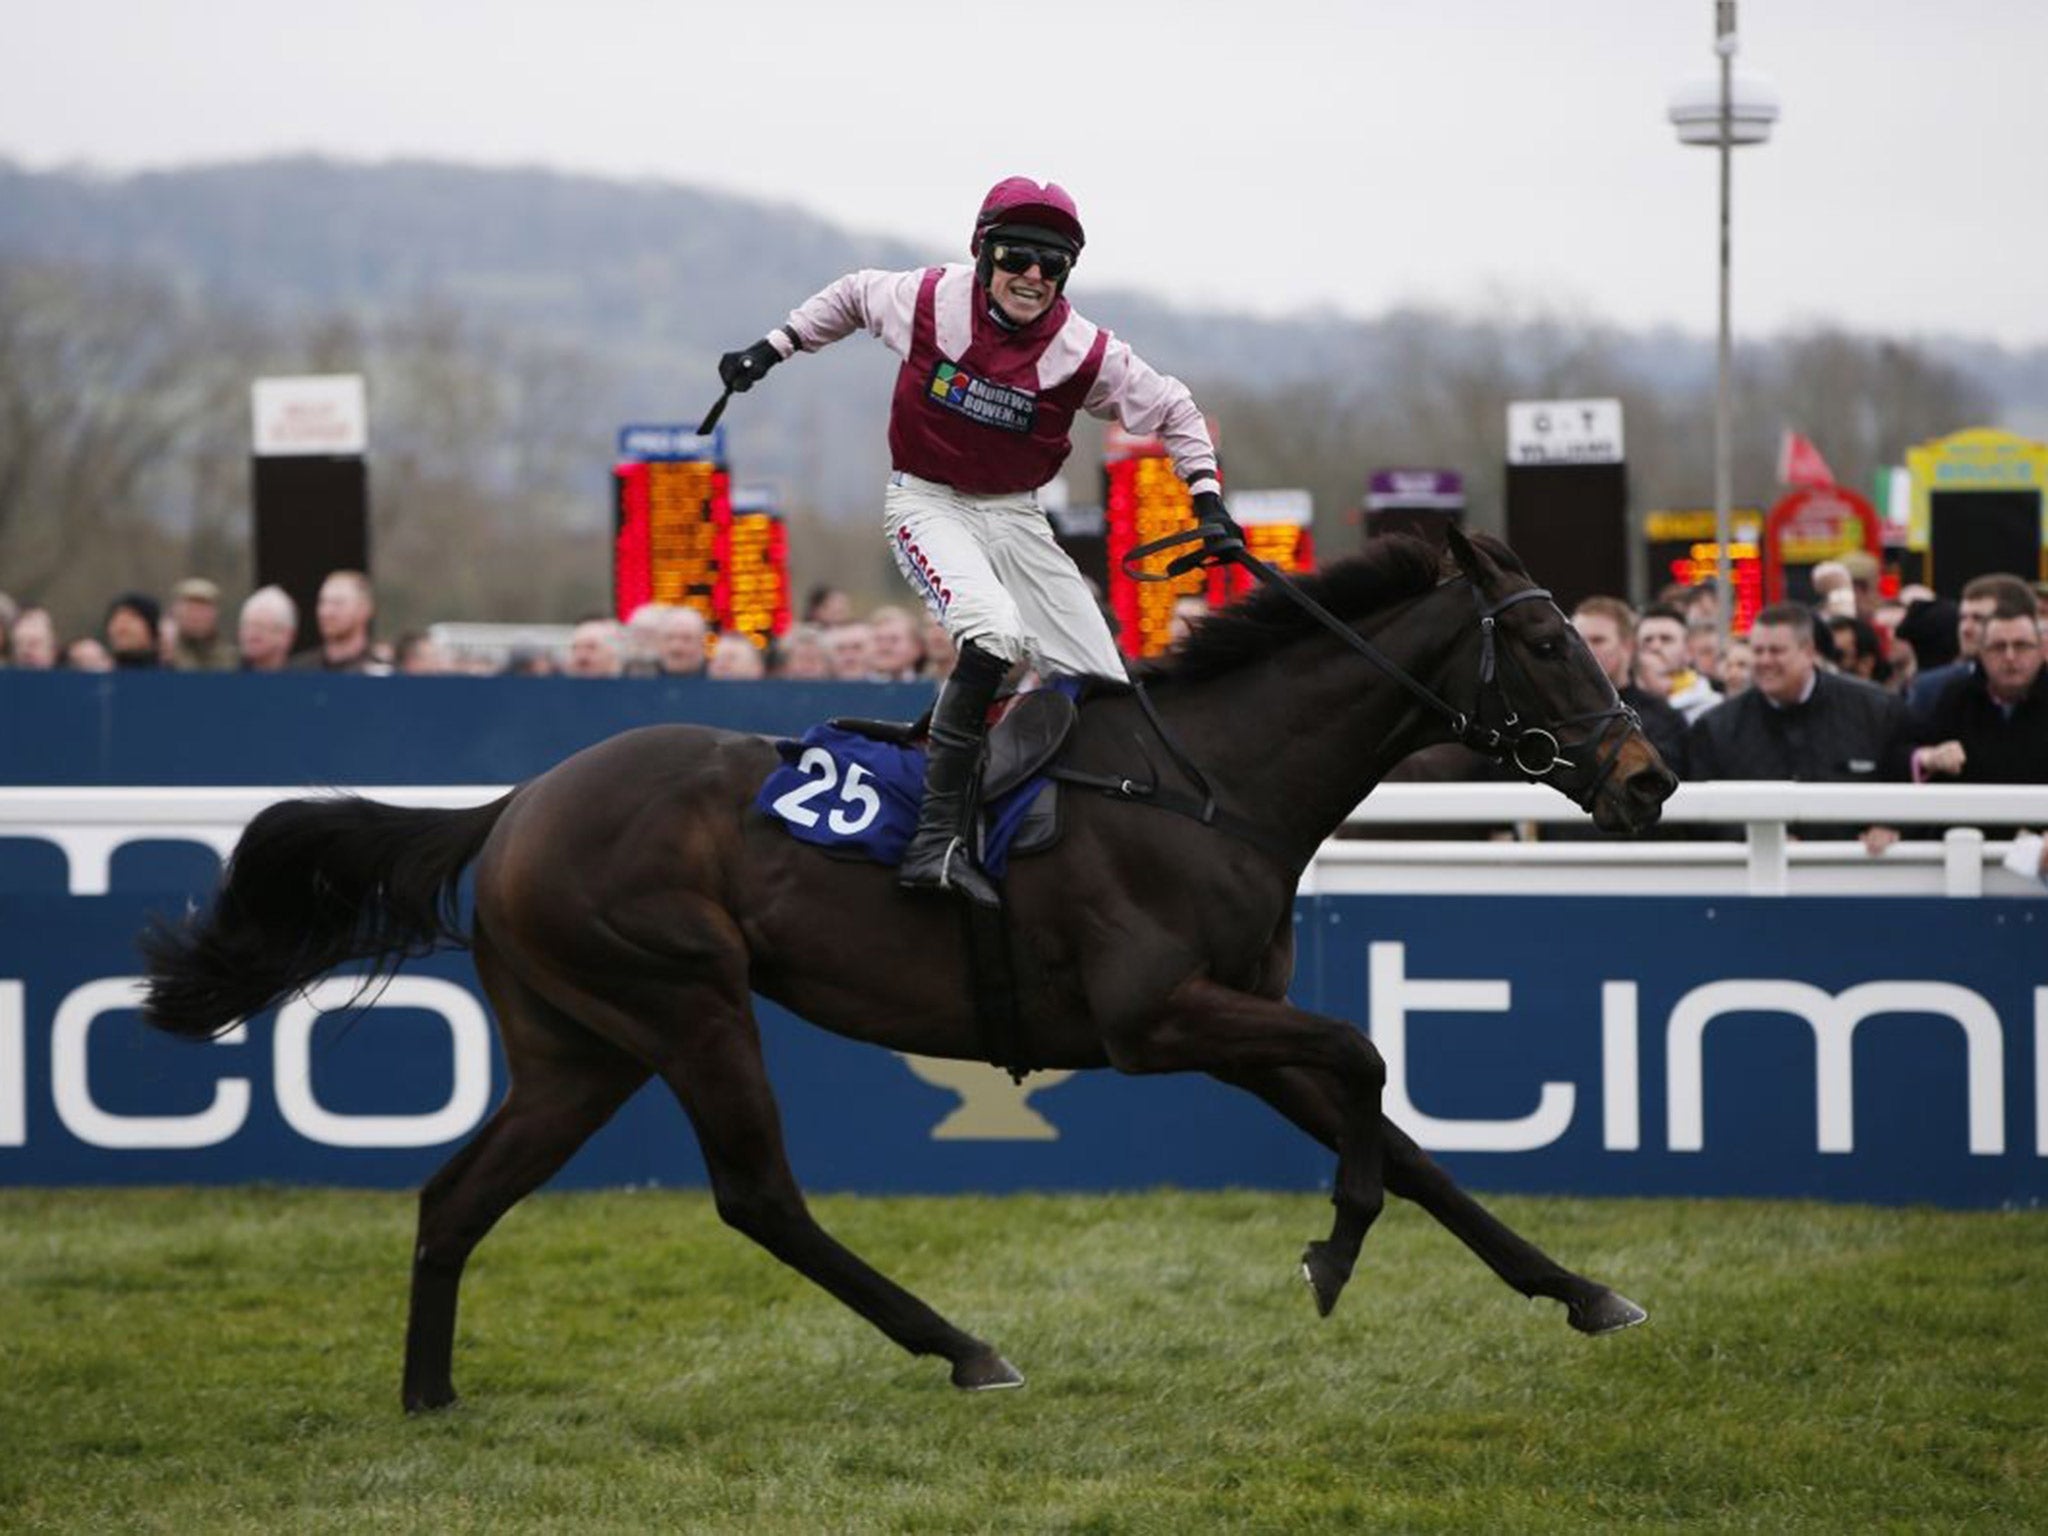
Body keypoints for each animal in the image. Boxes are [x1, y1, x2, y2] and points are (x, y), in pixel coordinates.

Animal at [144, 532, 1679, 1417]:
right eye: (1547, 640)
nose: (1648, 779)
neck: (1208, 784)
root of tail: (516, 803)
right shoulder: (1158, 1019)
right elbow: (1368, 1065)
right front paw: (1333, 1247)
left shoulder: (1236, 1024)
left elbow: (1406, 1142)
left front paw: (1582, 1291)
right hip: (683, 1001)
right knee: (758, 1197)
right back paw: (962, 1348)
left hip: (582, 1046)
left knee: (455, 1197)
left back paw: (429, 1401)